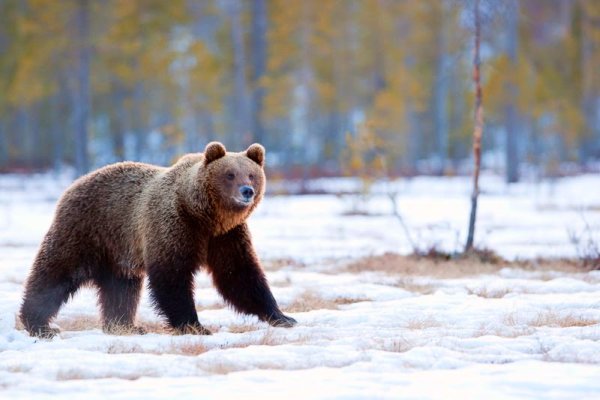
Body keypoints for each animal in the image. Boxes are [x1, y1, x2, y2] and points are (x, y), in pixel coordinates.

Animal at [19, 142, 296, 336]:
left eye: (251, 175)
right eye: (230, 174)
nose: (247, 191)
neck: (204, 216)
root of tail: (74, 183)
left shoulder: (226, 237)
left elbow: (240, 275)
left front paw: (283, 316)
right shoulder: (173, 226)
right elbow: (172, 276)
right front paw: (194, 325)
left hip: (119, 251)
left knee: (122, 288)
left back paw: (124, 326)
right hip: (86, 229)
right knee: (56, 272)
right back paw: (39, 324)